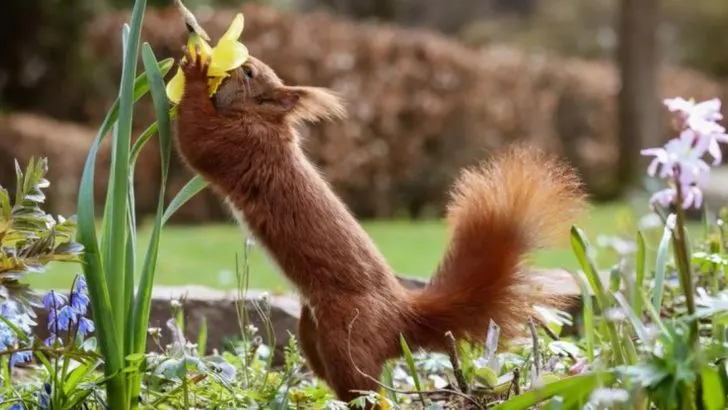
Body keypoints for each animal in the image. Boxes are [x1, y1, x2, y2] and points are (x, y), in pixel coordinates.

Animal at [173, 46, 588, 405]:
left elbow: (196, 140)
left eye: (248, 72)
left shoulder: (237, 145)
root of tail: (400, 318)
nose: (231, 61)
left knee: (367, 390)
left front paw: (193, 69)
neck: (263, 120)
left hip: (347, 336)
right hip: (313, 334)